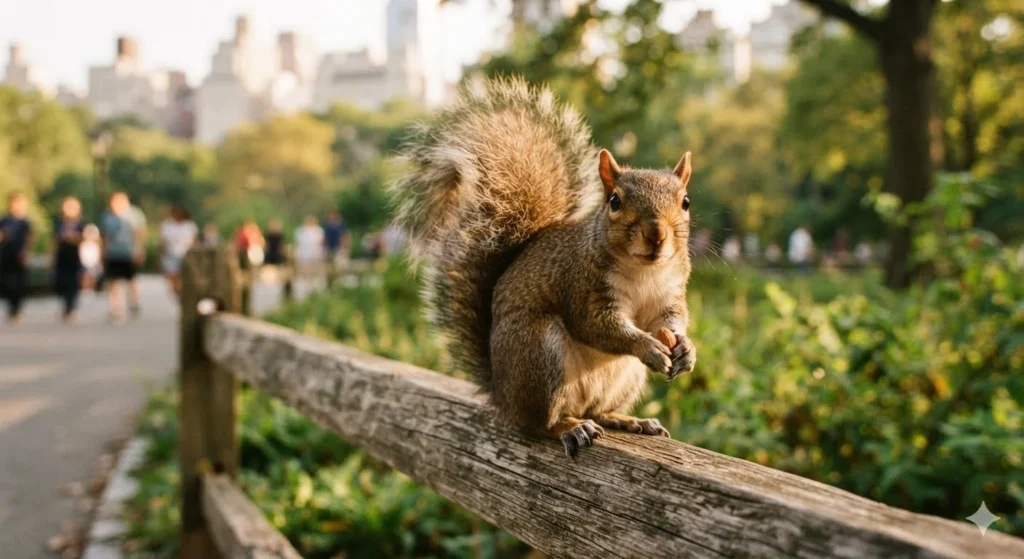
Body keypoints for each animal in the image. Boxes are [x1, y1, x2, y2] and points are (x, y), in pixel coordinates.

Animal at [390, 77, 696, 458]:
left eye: (685, 202)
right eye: (615, 202)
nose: (656, 235)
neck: (644, 270)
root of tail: (502, 396)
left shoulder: (670, 291)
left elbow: (669, 320)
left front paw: (686, 350)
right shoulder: (582, 285)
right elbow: (598, 326)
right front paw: (648, 347)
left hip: (622, 379)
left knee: (598, 410)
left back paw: (628, 420)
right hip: (538, 354)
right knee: (539, 424)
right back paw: (570, 427)